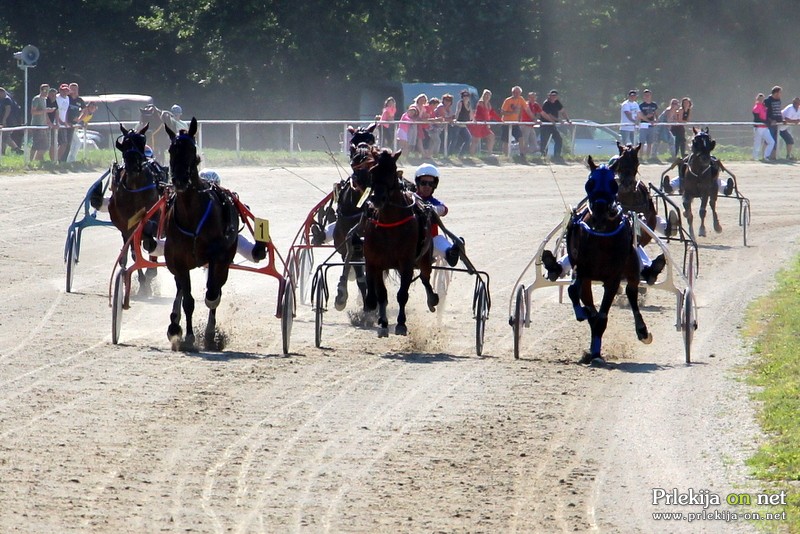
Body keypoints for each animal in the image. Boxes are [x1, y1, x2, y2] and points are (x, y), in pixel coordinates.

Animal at [162, 118, 238, 352]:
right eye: (171, 149)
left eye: (192, 149)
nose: (179, 180)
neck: (191, 214)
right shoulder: (178, 261)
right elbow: (188, 300)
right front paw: (187, 337)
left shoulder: (217, 256)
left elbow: (212, 295)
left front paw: (210, 335)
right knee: (179, 288)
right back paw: (174, 325)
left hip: (225, 260)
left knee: (216, 288)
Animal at [362, 149, 438, 338]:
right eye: (373, 171)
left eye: (392, 171)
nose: (378, 199)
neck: (390, 223)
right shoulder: (376, 262)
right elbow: (382, 294)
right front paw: (382, 323)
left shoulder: (406, 263)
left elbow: (402, 294)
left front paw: (401, 324)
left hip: (424, 258)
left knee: (425, 277)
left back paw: (432, 299)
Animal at [564, 155, 652, 364]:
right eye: (590, 183)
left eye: (613, 183)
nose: (600, 210)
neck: (601, 233)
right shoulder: (582, 269)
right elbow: (574, 291)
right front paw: (583, 313)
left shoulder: (613, 277)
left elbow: (603, 316)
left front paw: (596, 354)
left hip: (632, 267)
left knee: (632, 293)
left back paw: (642, 331)